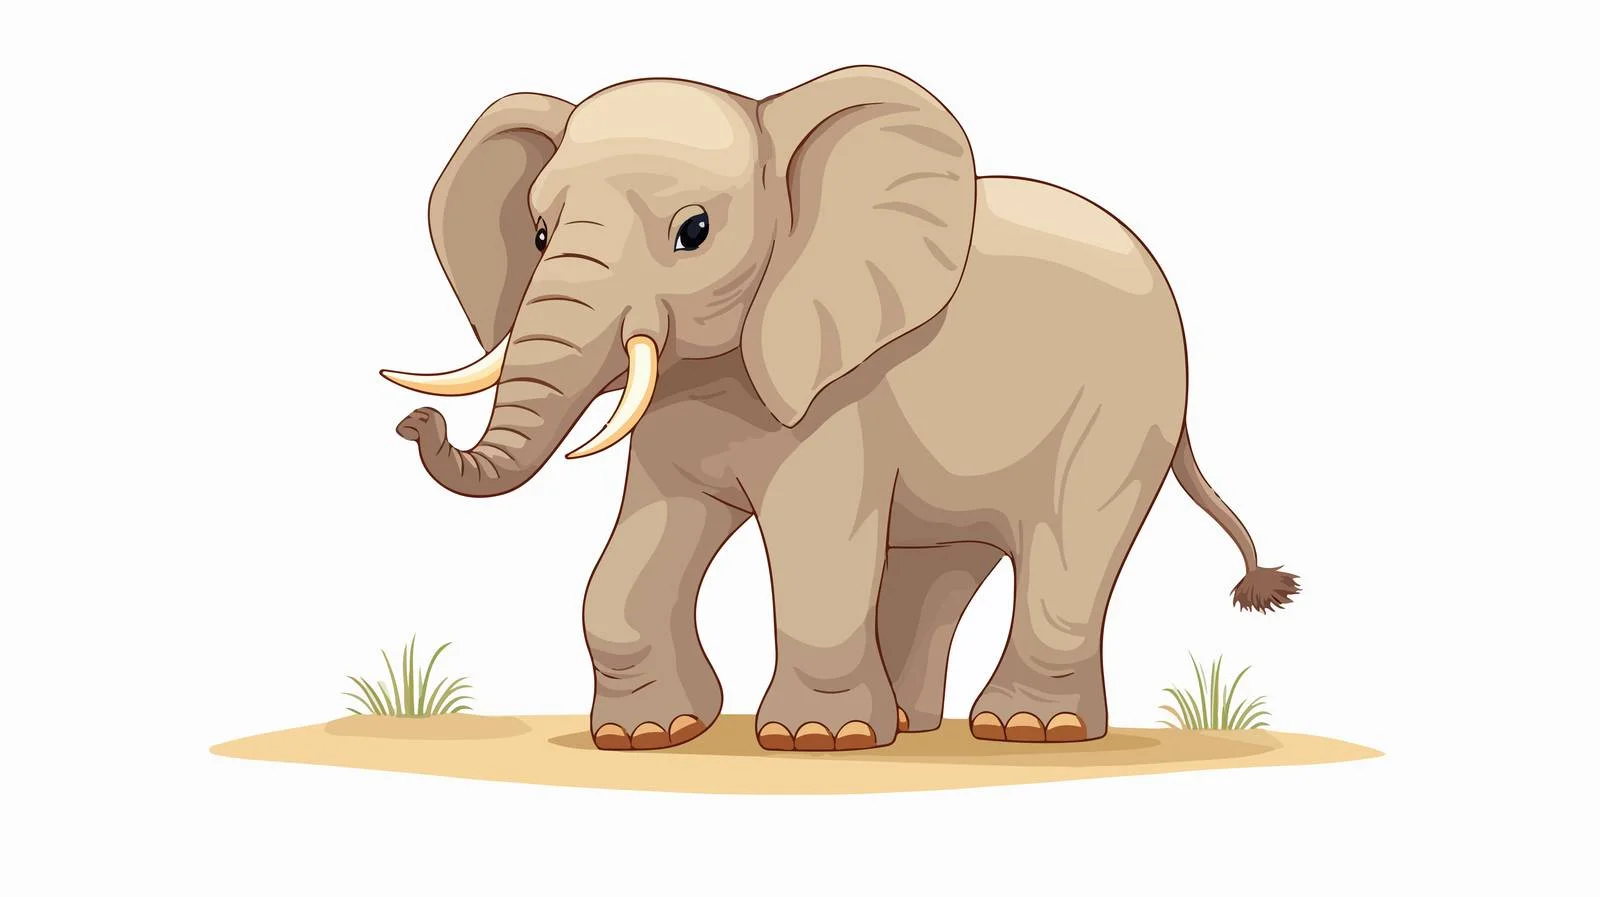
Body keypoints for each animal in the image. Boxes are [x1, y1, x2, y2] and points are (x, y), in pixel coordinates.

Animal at [382, 65, 1299, 752]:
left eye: (694, 232)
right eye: (538, 234)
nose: (412, 423)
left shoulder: (837, 391)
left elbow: (816, 544)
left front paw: (816, 741)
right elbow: (639, 547)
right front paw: (649, 735)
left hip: (1125, 411)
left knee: (1069, 545)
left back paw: (1029, 729)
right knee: (942, 564)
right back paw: (912, 723)